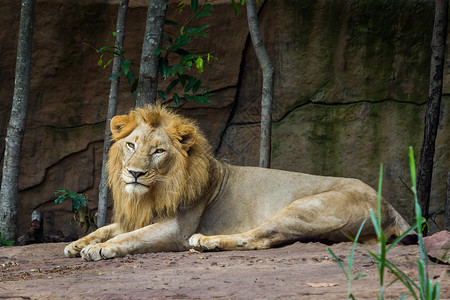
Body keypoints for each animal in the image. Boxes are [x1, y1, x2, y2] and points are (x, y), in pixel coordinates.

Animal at [64, 105, 412, 260]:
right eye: (131, 145)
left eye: (158, 151)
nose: (134, 173)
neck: (153, 191)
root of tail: (389, 204)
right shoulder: (138, 216)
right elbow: (106, 228)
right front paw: (78, 243)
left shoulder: (175, 228)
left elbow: (132, 237)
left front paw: (99, 249)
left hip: (305, 207)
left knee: (259, 236)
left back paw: (207, 242)